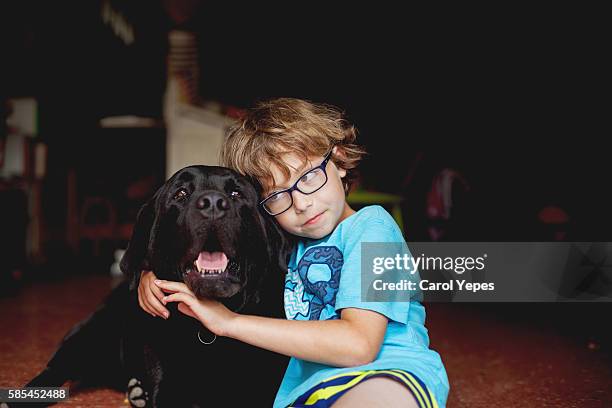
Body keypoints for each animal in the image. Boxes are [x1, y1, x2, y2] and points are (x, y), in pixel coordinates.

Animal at [24, 165, 292, 404]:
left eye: (236, 194)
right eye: (181, 194)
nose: (214, 203)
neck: (205, 332)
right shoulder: (168, 386)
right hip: (88, 335)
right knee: (55, 369)